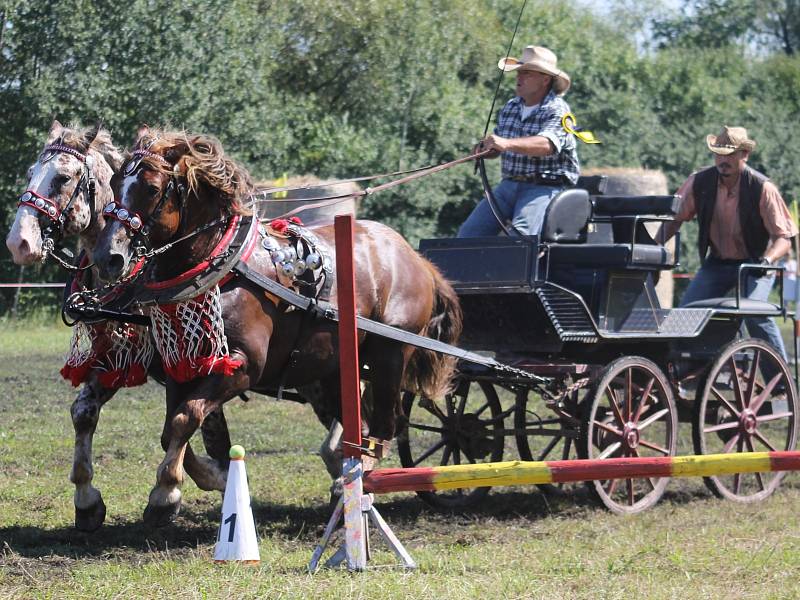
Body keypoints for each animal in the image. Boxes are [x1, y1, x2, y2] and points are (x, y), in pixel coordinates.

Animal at [91, 127, 462, 524]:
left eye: (151, 188)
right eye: (114, 182)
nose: (108, 257)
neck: (223, 268)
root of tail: (414, 257)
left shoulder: (242, 367)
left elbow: (185, 417)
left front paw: (166, 492)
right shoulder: (182, 365)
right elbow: (172, 427)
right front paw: (185, 486)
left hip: (389, 355)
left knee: (382, 428)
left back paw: (362, 483)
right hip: (334, 368)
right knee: (358, 426)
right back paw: (344, 482)